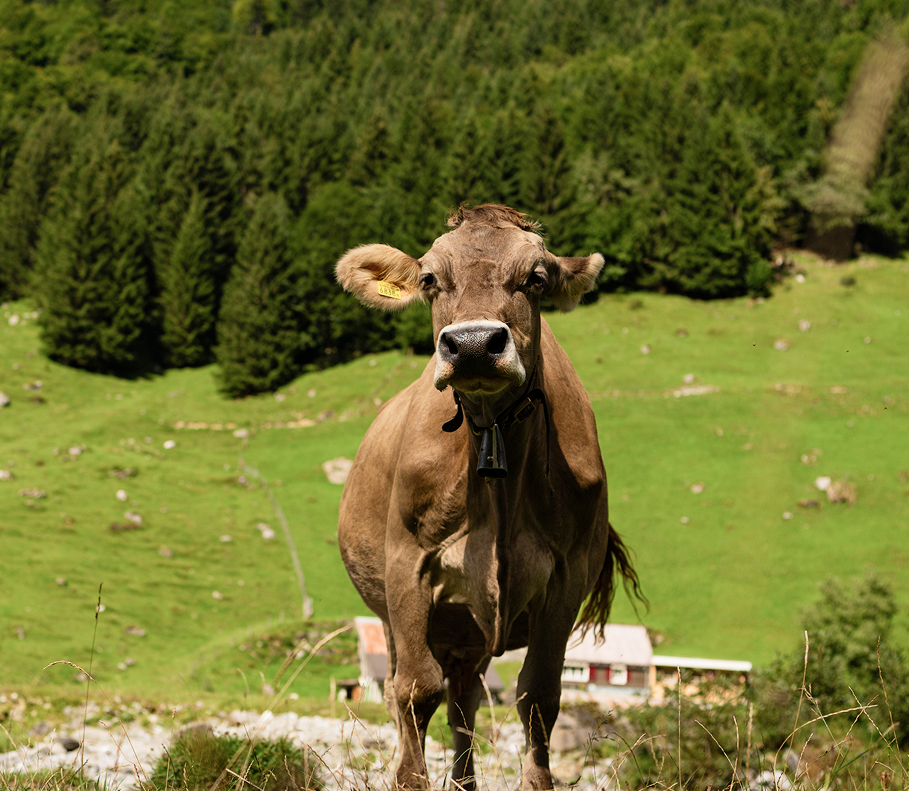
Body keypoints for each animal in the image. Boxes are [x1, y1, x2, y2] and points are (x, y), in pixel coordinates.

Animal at [335, 205, 639, 791]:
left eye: (536, 278)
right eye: (430, 279)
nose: (474, 344)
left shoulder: (568, 574)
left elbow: (539, 695)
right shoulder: (407, 564)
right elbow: (415, 689)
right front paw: (409, 780)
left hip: (470, 636)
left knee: (465, 702)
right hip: (401, 616)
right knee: (410, 690)